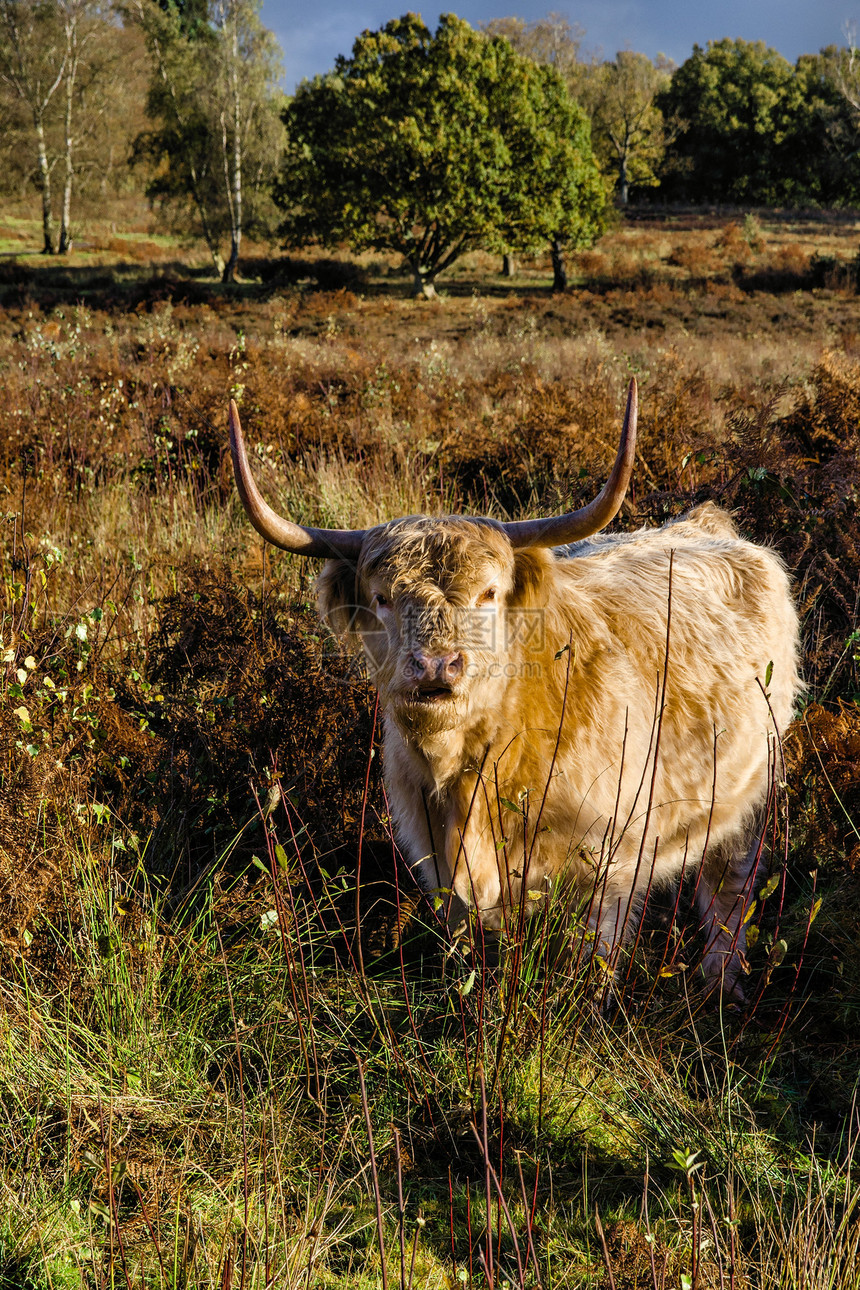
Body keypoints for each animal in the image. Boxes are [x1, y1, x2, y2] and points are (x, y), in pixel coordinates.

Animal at [228, 381, 799, 995]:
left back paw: (722, 988)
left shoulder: (610, 867)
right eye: (381, 597)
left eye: (489, 593)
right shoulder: (438, 864)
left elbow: (589, 966)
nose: (436, 666)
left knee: (728, 892)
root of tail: (706, 524)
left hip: (750, 796)